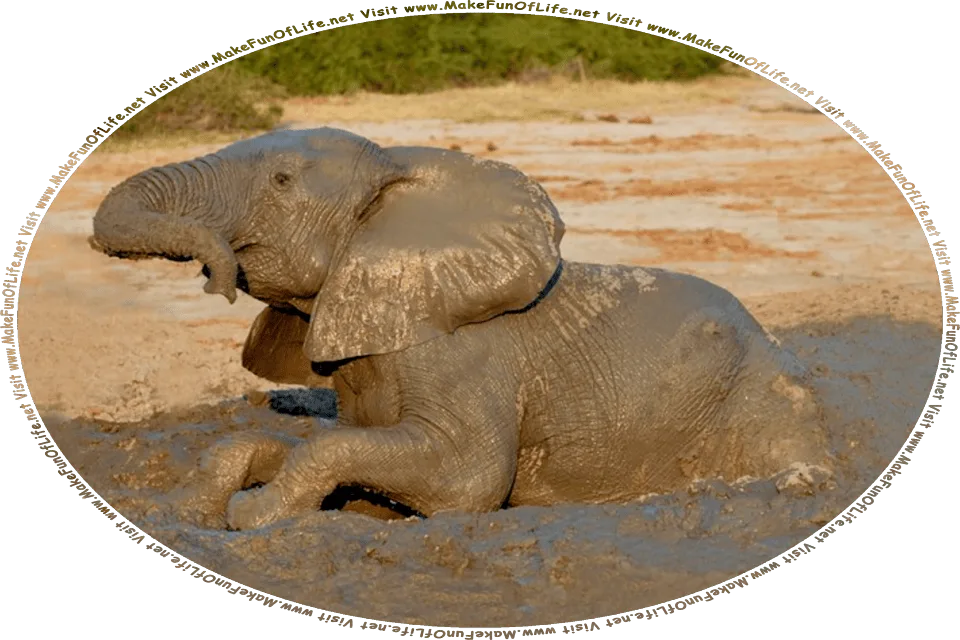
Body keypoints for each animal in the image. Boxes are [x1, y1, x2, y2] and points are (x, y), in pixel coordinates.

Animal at [89, 127, 833, 530]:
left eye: (281, 180)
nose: (213, 276)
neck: (398, 174)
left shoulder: (458, 352)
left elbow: (465, 476)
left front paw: (254, 517)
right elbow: (313, 441)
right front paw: (190, 509)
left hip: (761, 395)